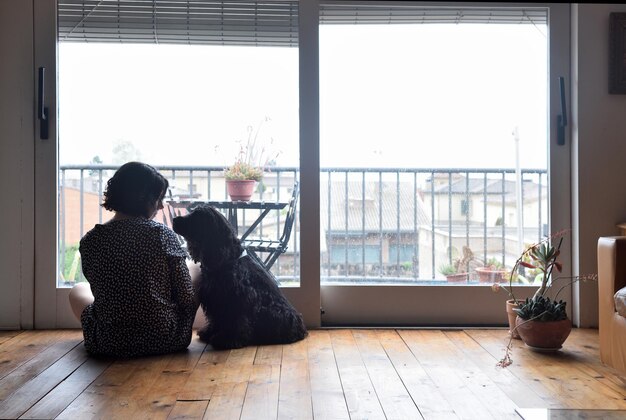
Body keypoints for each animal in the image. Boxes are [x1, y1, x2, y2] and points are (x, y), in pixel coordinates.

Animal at [171, 205, 308, 350]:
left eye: (196, 217)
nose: (174, 219)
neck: (227, 259)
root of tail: (301, 329)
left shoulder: (238, 298)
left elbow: (237, 321)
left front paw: (227, 339)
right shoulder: (214, 298)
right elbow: (216, 319)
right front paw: (209, 332)